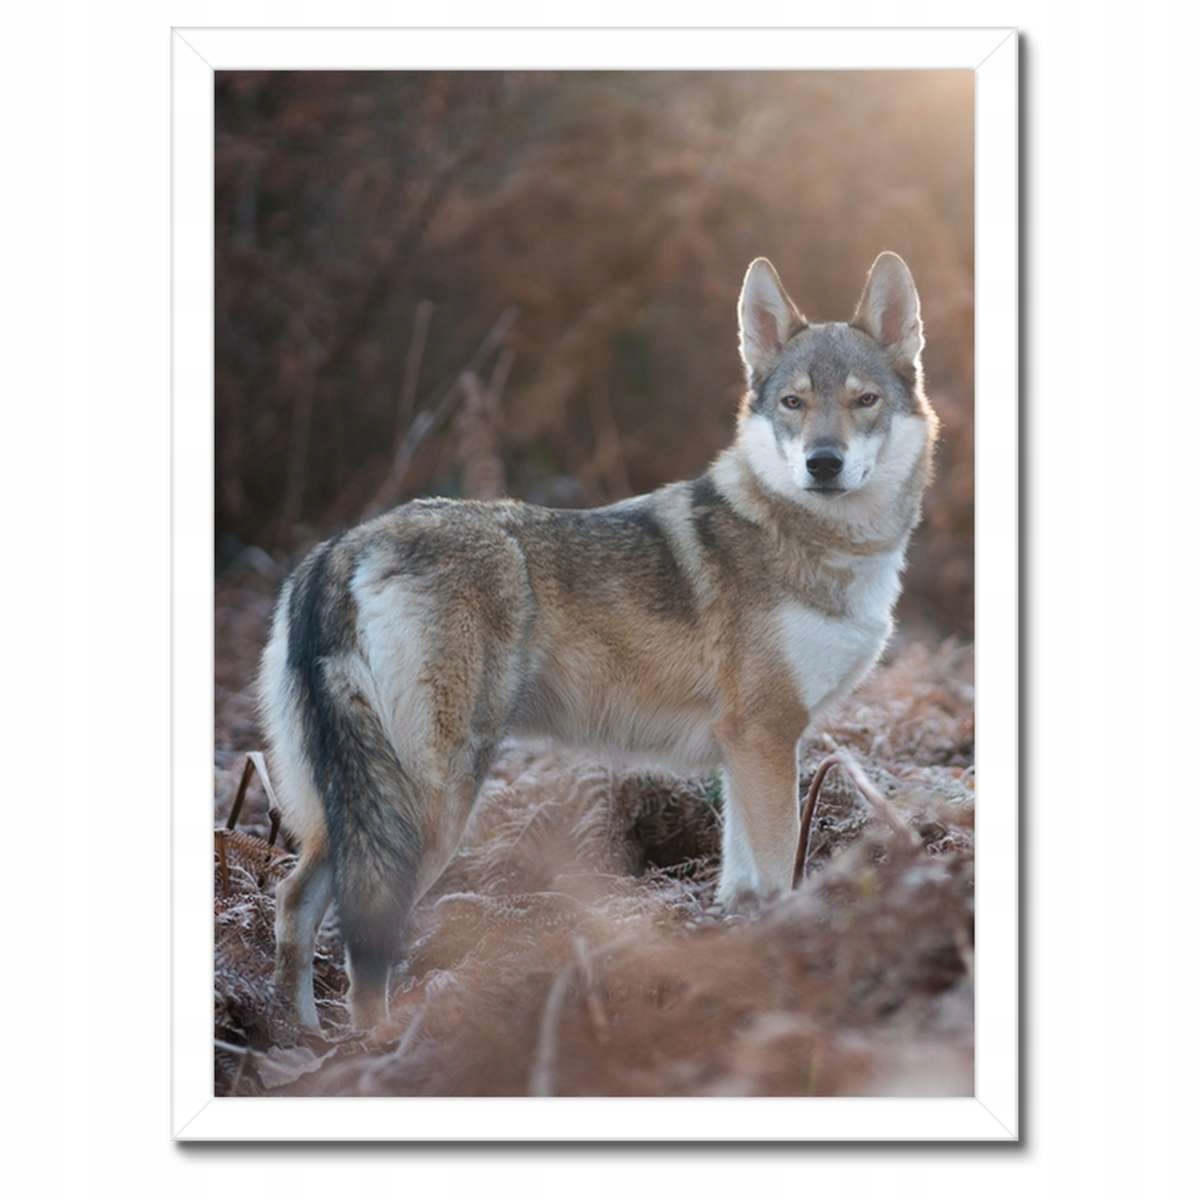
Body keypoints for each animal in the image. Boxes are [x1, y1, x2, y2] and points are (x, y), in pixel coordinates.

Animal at [259, 252, 939, 1032]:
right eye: (794, 404)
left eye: (864, 401)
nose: (822, 463)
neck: (819, 544)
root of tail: (341, 546)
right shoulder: (767, 737)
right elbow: (777, 873)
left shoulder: (744, 751)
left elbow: (741, 884)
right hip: (430, 806)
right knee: (360, 935)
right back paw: (375, 1043)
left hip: (348, 808)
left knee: (293, 903)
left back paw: (304, 1042)